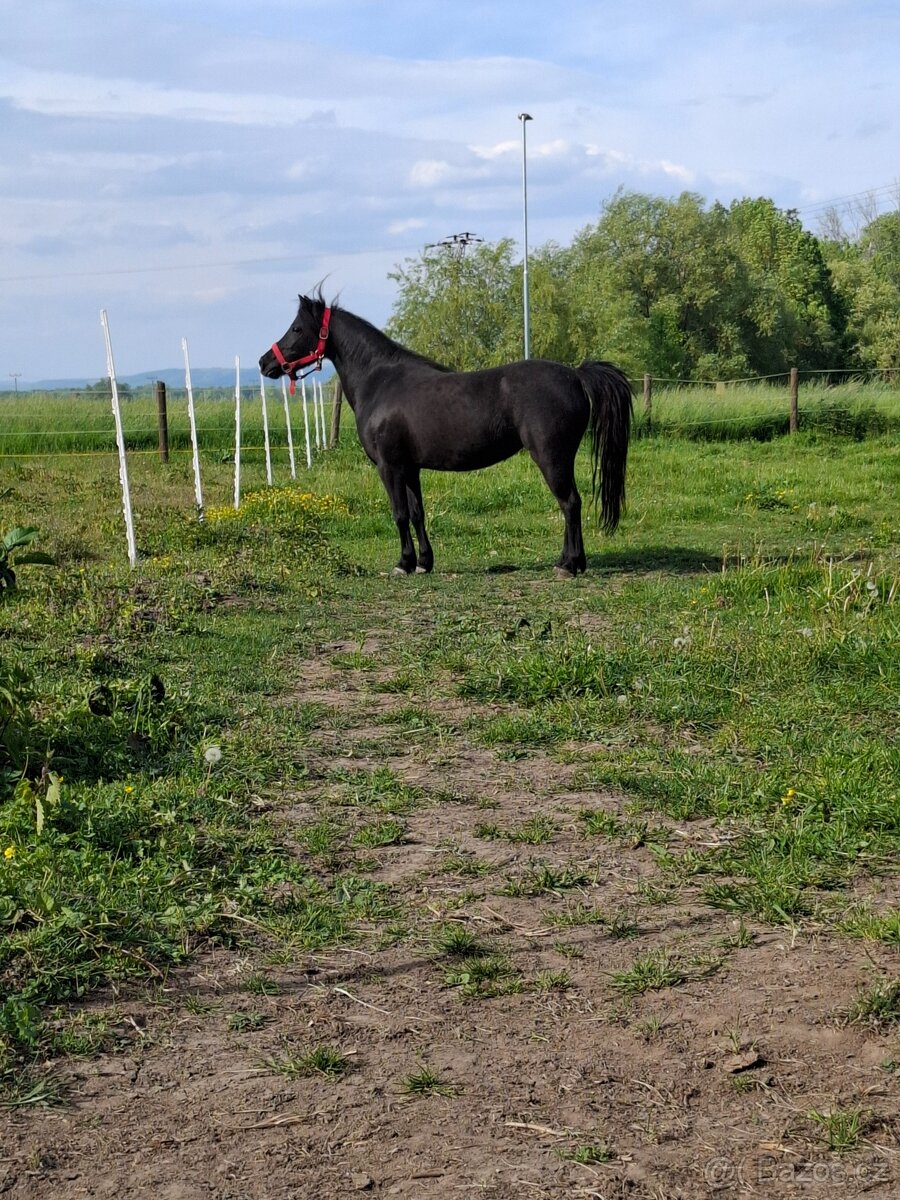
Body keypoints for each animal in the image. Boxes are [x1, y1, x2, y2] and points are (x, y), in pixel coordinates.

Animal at [259, 293, 633, 576]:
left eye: (297, 328)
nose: (265, 363)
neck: (380, 381)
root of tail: (575, 374)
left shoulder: (389, 467)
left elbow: (398, 514)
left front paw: (403, 563)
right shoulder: (410, 468)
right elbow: (417, 513)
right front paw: (424, 563)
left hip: (552, 459)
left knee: (570, 503)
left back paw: (569, 565)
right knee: (570, 504)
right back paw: (569, 562)